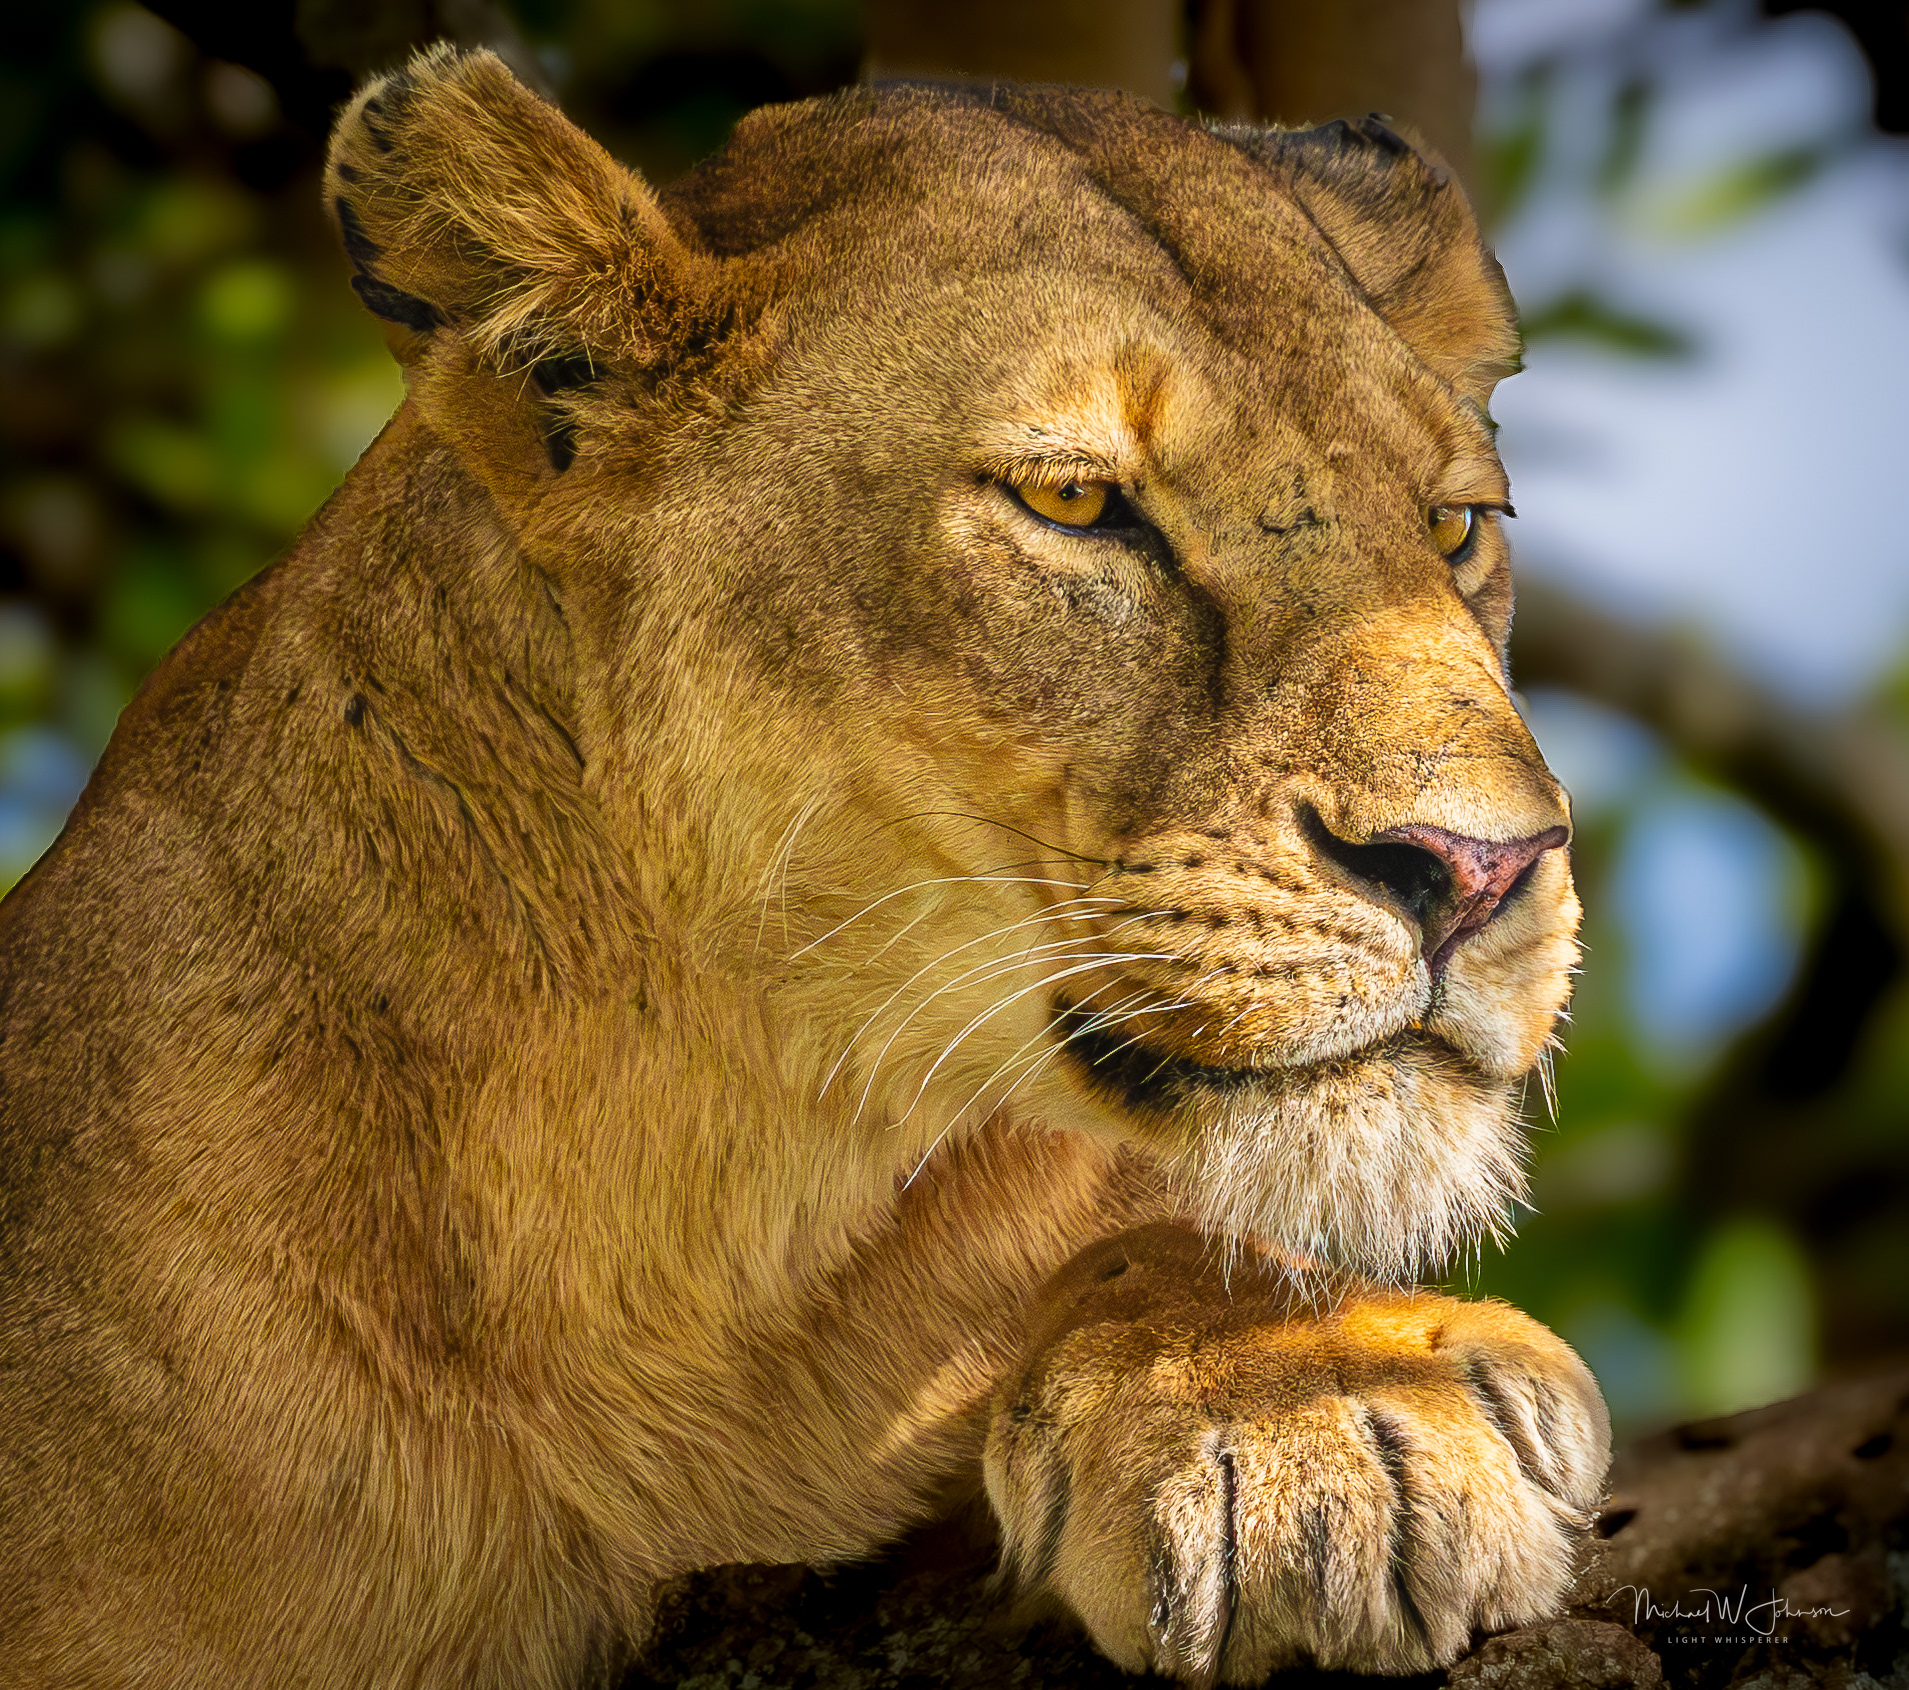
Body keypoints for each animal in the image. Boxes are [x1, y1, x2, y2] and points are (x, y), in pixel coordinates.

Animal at [0, 46, 1608, 1688]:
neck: (700, 1195)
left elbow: (1169, 1240)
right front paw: (1316, 1412)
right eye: (1074, 503)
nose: (1482, 866)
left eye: (1455, 523)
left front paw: (1320, 1401)